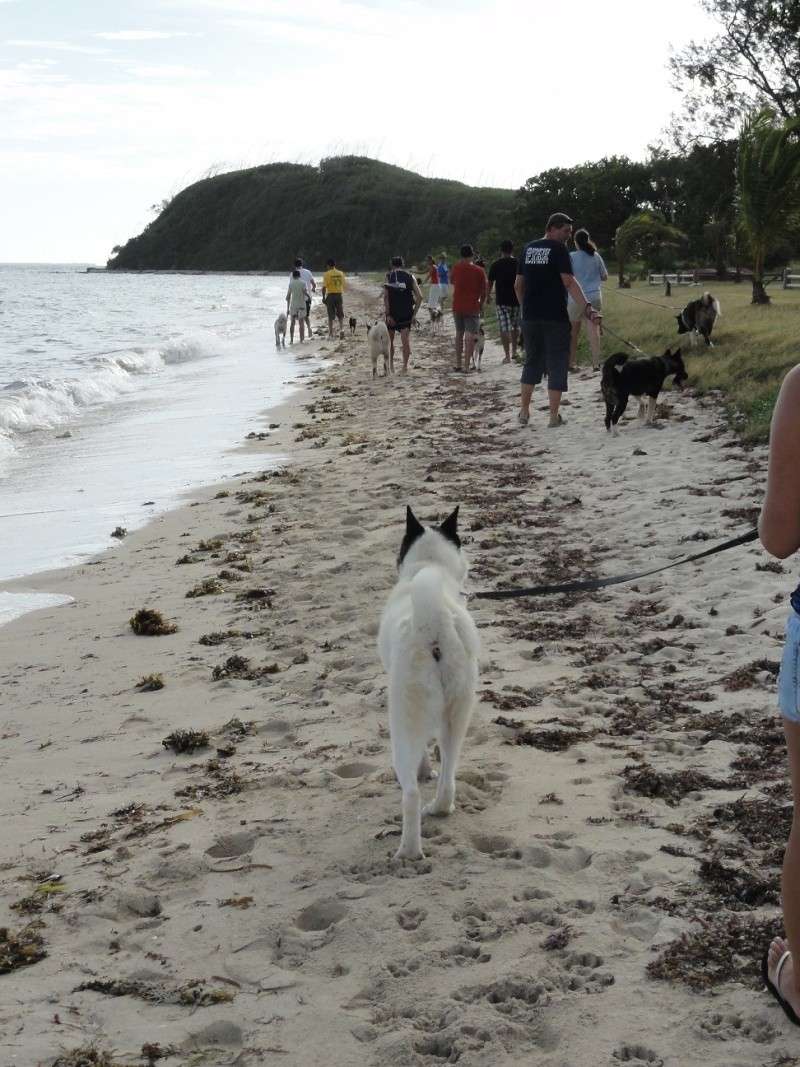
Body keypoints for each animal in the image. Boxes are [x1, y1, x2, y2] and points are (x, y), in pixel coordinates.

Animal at [379, 503, 480, 862]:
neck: (430, 566)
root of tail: (434, 623)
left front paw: (424, 770)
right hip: (459, 712)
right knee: (449, 776)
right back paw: (439, 809)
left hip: (403, 720)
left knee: (410, 795)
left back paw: (408, 852)